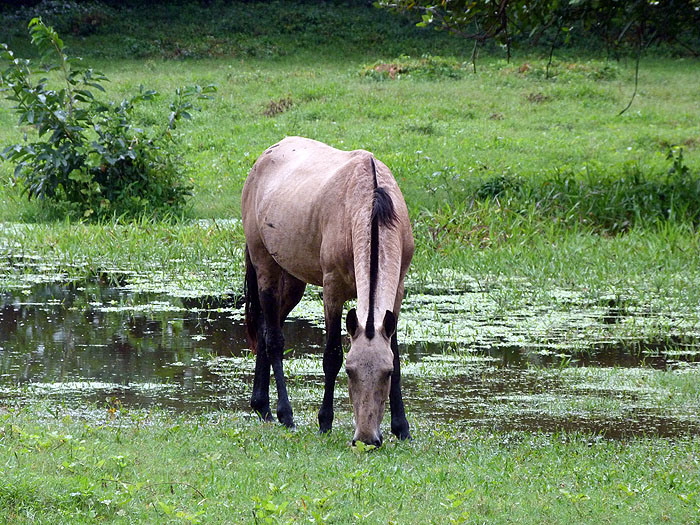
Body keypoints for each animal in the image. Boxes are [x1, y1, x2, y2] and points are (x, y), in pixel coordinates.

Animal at [242, 136, 412, 446]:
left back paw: (262, 406)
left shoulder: (397, 291)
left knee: (264, 326)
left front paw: (401, 427)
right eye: (351, 372)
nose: (366, 438)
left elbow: (394, 352)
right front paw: (325, 422)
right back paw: (284, 414)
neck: (372, 204)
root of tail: (264, 157)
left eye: (386, 373)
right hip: (265, 266)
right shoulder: (333, 290)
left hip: (293, 281)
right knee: (273, 339)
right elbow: (331, 356)